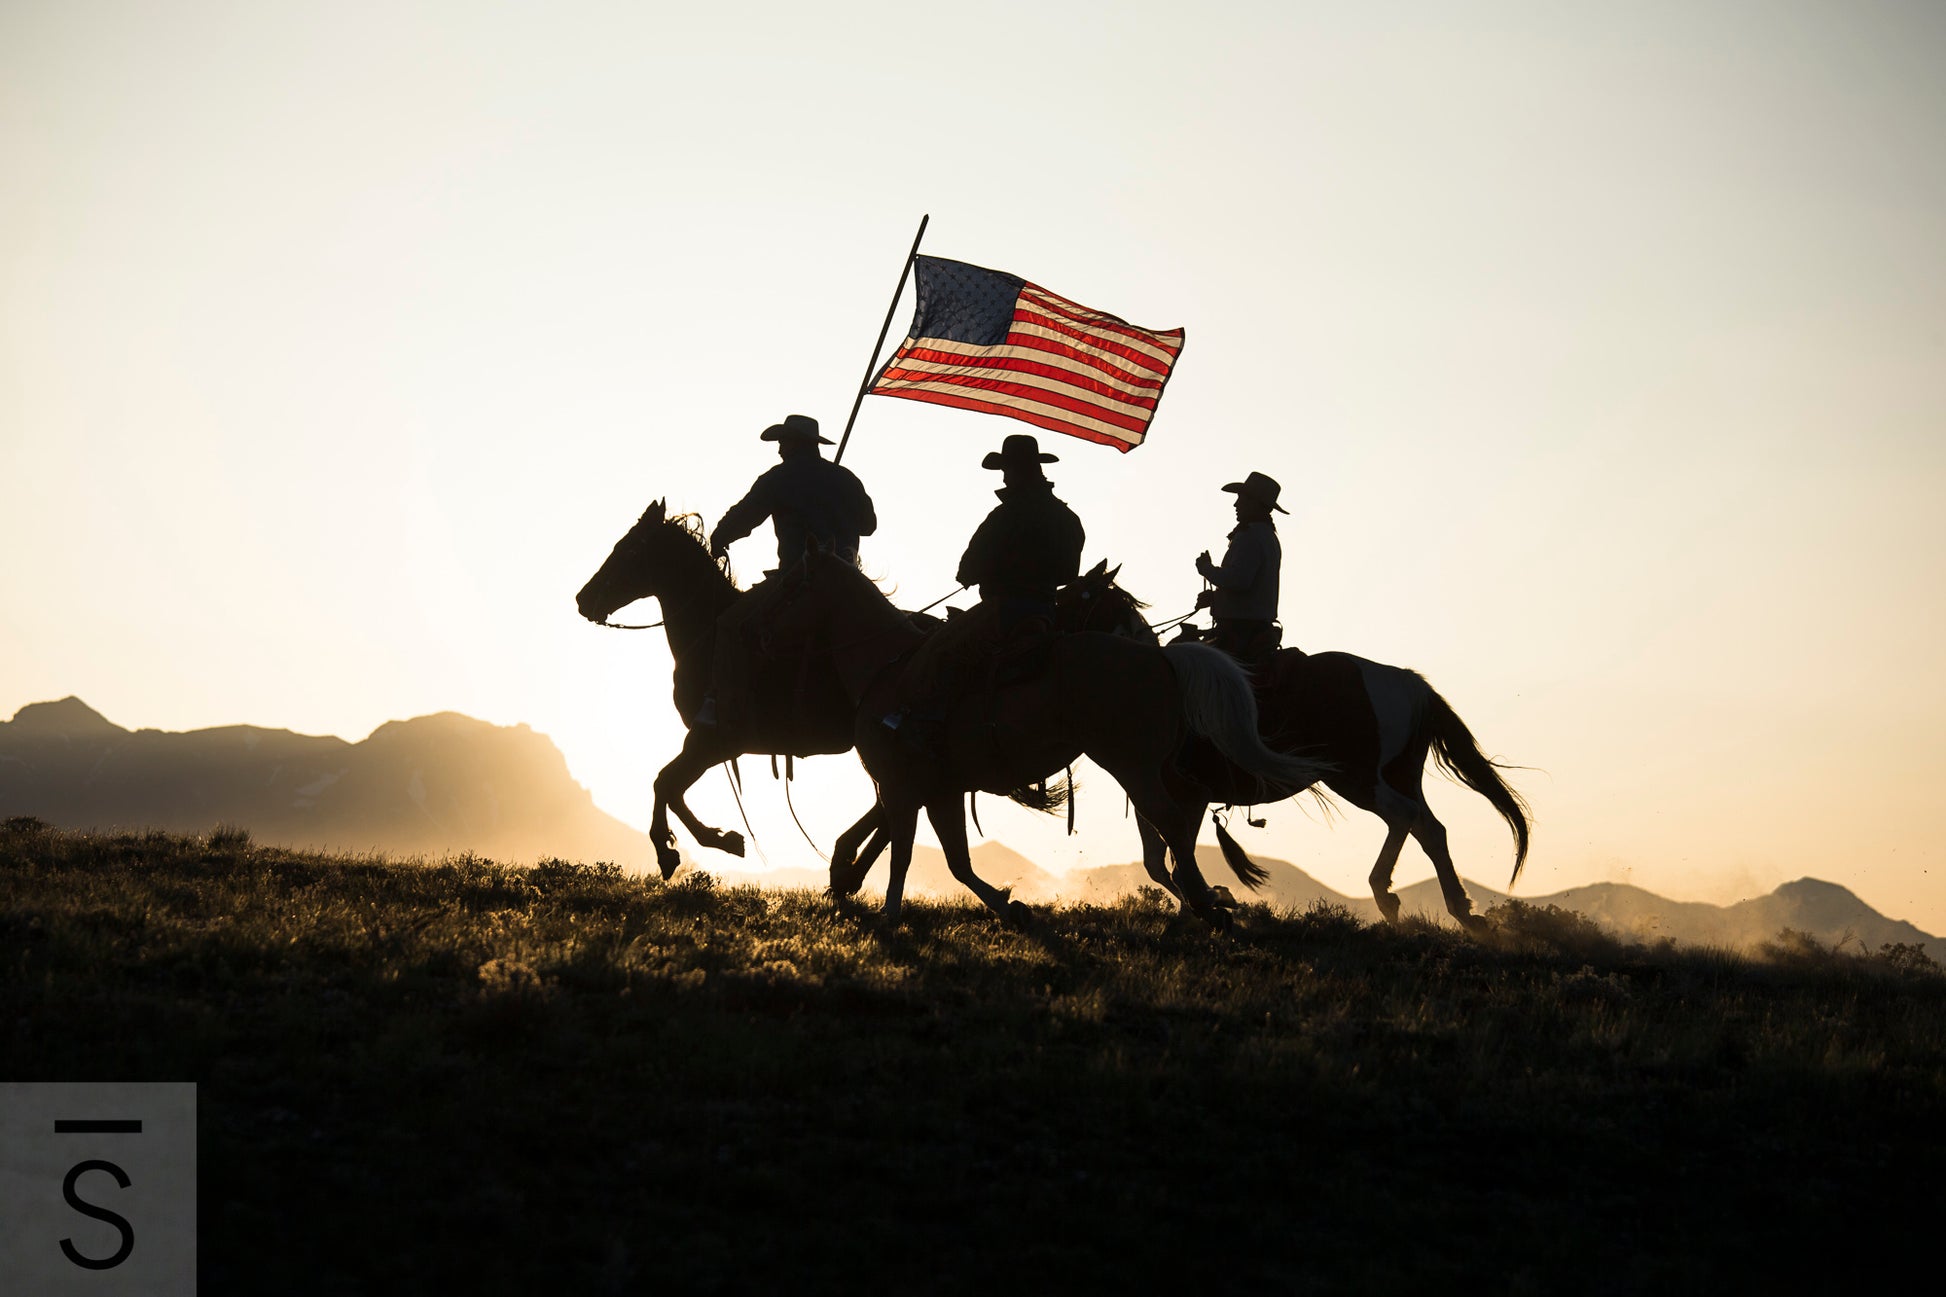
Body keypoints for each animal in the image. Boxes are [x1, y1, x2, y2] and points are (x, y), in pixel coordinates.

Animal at [762, 549, 1338, 923]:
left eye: (788, 585)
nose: (760, 616)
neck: (889, 669)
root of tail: (1161, 659)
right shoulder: (937, 790)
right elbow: (951, 859)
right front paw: (1007, 904)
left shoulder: (903, 786)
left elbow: (902, 851)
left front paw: (884, 913)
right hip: (1156, 764)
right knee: (1182, 813)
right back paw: (1205, 897)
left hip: (1129, 764)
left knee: (1171, 821)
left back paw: (1203, 903)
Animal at [1058, 564, 1525, 930]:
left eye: (1072, 595)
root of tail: (1409, 683)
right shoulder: (1151, 789)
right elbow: (1159, 860)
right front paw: (1206, 902)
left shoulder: (1189, 792)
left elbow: (1176, 854)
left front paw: (1209, 902)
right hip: (1398, 775)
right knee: (1430, 828)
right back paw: (1463, 912)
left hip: (1357, 779)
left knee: (1405, 817)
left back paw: (1386, 894)